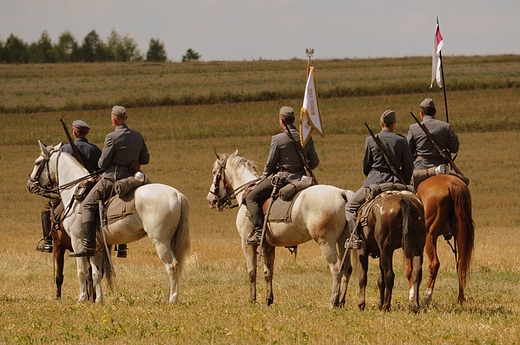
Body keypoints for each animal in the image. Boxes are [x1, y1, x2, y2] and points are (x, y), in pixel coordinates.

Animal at [28, 141, 191, 302]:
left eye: (37, 163)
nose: (30, 185)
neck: (75, 194)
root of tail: (177, 194)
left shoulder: (77, 242)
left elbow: (82, 271)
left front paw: (82, 299)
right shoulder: (95, 245)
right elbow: (96, 274)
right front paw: (99, 300)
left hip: (160, 241)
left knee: (172, 266)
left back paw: (172, 300)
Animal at [205, 148, 356, 306]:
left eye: (214, 172)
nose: (210, 200)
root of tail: (341, 192)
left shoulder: (247, 244)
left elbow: (252, 272)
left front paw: (252, 300)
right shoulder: (268, 246)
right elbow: (268, 272)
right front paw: (268, 300)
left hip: (326, 242)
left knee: (336, 267)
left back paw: (333, 302)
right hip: (342, 241)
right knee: (347, 268)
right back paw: (341, 301)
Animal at [416, 173, 474, 306]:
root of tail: (453, 184)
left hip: (429, 235)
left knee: (434, 264)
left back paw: (427, 298)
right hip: (460, 234)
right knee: (461, 263)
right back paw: (460, 298)